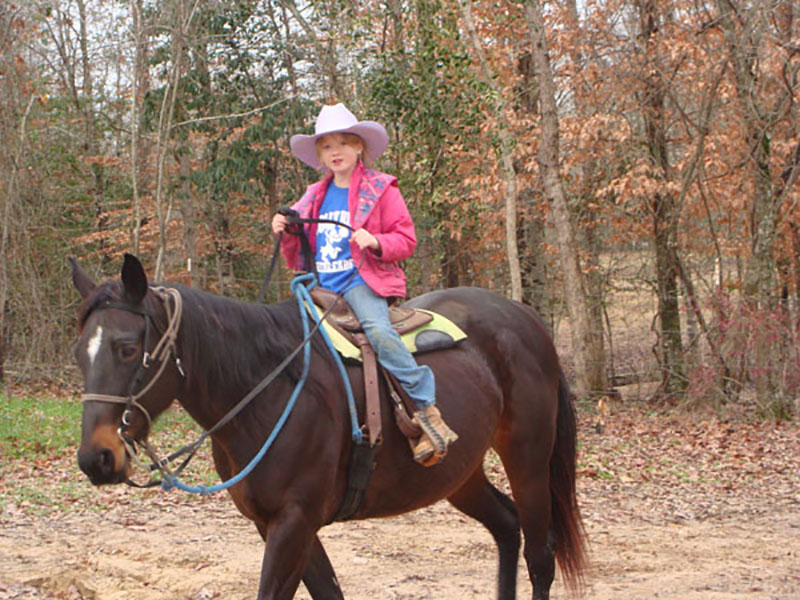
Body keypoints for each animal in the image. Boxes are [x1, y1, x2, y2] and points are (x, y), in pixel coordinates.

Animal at [69, 254, 584, 600]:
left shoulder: (294, 521)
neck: (266, 387)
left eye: (128, 348)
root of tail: (524, 317)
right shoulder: (275, 524)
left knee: (540, 557)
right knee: (506, 525)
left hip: (528, 458)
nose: (97, 457)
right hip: (458, 473)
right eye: (79, 353)